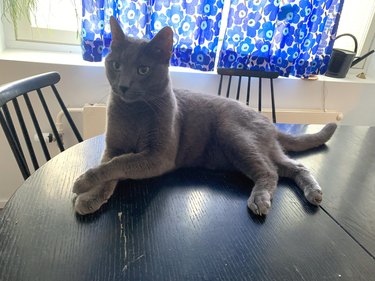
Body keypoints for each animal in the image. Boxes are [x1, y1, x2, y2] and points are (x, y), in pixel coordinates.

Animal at [72, 16, 338, 215]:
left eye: (143, 70)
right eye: (116, 65)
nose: (124, 86)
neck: (133, 111)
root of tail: (268, 122)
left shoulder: (158, 156)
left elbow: (119, 164)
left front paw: (81, 183)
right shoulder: (113, 146)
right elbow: (109, 165)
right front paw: (90, 195)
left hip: (234, 134)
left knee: (270, 171)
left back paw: (261, 200)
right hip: (259, 147)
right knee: (293, 166)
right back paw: (314, 192)